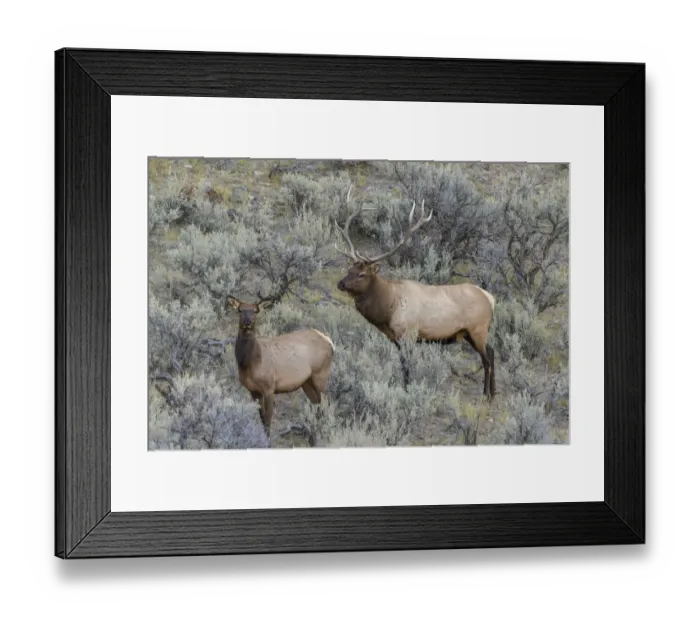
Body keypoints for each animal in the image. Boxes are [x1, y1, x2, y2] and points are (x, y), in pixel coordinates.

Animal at [225, 296, 335, 439]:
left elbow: (267, 421)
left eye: (255, 311)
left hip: (321, 374)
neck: (250, 364)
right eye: (240, 310)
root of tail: (330, 342)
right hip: (307, 382)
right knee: (316, 406)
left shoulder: (269, 387)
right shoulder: (253, 391)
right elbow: (262, 419)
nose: (247, 322)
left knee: (325, 406)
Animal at [334, 189, 497, 399]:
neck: (389, 309)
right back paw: (493, 392)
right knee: (492, 352)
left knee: (487, 357)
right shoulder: (396, 339)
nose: (341, 283)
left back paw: (487, 394)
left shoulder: (409, 333)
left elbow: (407, 367)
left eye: (362, 274)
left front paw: (408, 391)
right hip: (470, 332)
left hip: (478, 328)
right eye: (349, 269)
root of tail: (490, 298)